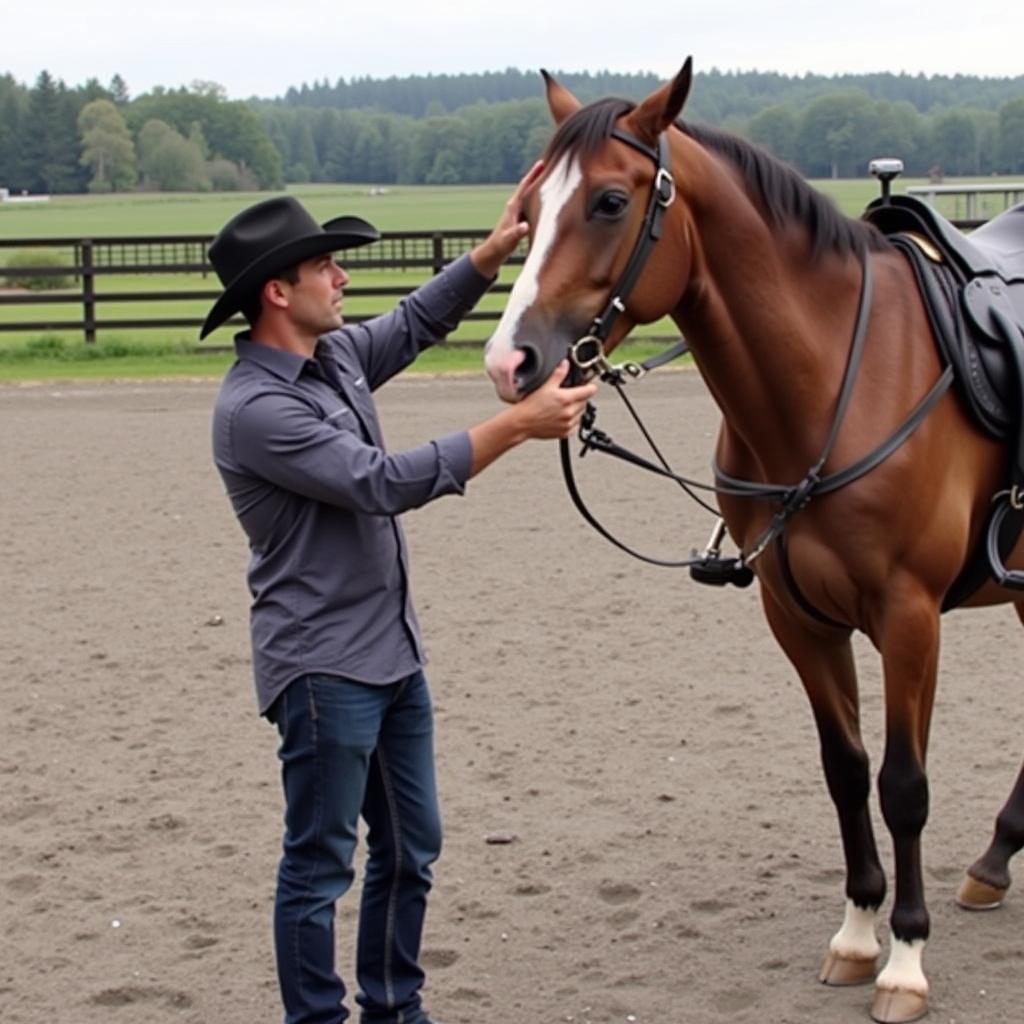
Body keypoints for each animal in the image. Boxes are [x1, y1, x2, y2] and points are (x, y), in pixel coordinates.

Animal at [483, 59, 1024, 1019]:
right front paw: (857, 933)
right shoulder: (796, 615)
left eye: (611, 202)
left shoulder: (910, 617)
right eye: (531, 203)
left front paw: (906, 957)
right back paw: (996, 860)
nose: (510, 363)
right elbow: (845, 768)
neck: (832, 381)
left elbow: (904, 785)